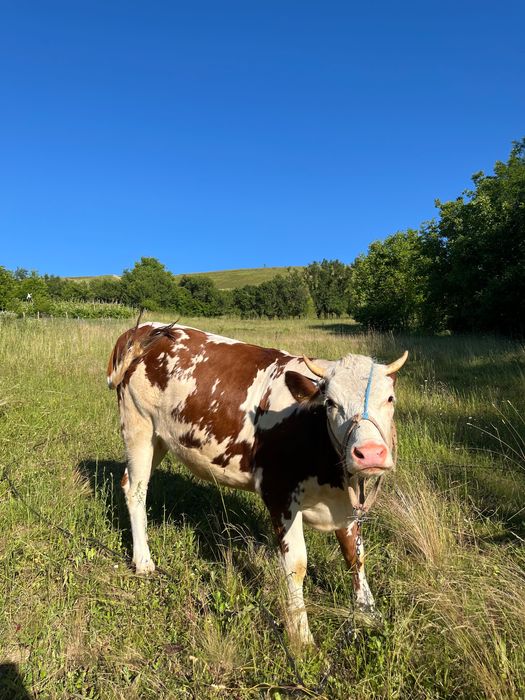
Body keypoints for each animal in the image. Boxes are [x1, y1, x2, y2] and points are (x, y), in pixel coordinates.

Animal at [107, 320, 407, 645]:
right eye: (330, 403)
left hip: (160, 438)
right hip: (138, 425)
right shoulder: (279, 493)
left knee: (129, 482)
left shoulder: (348, 502)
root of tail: (144, 330)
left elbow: (356, 554)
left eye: (390, 399)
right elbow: (296, 565)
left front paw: (368, 612)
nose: (370, 453)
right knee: (136, 490)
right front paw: (301, 636)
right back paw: (143, 561)